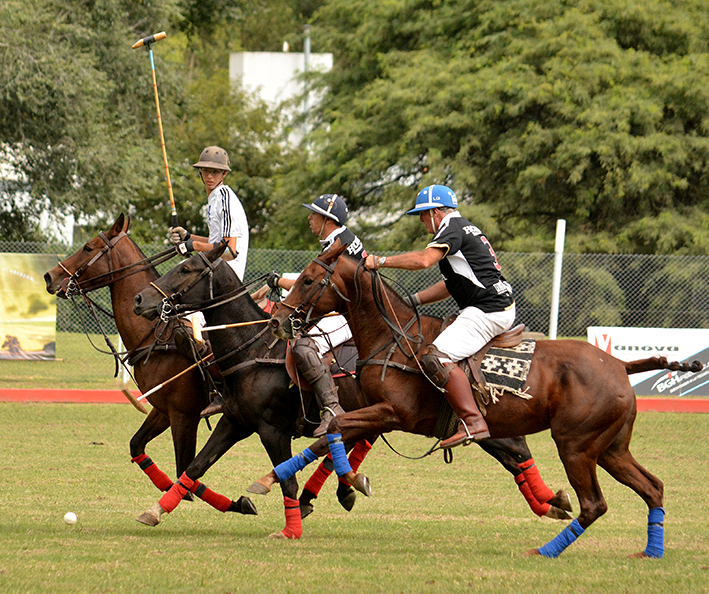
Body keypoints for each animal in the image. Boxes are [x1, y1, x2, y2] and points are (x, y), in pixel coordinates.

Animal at [258, 240, 700, 556]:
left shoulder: (393, 413)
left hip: (576, 444)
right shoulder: (375, 412)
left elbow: (333, 430)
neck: (394, 338)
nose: (278, 319)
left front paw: (343, 482)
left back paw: (546, 550)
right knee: (653, 486)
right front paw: (275, 482)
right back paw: (649, 552)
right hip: (609, 447)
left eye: (309, 279)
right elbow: (329, 436)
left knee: (594, 504)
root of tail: (619, 365)